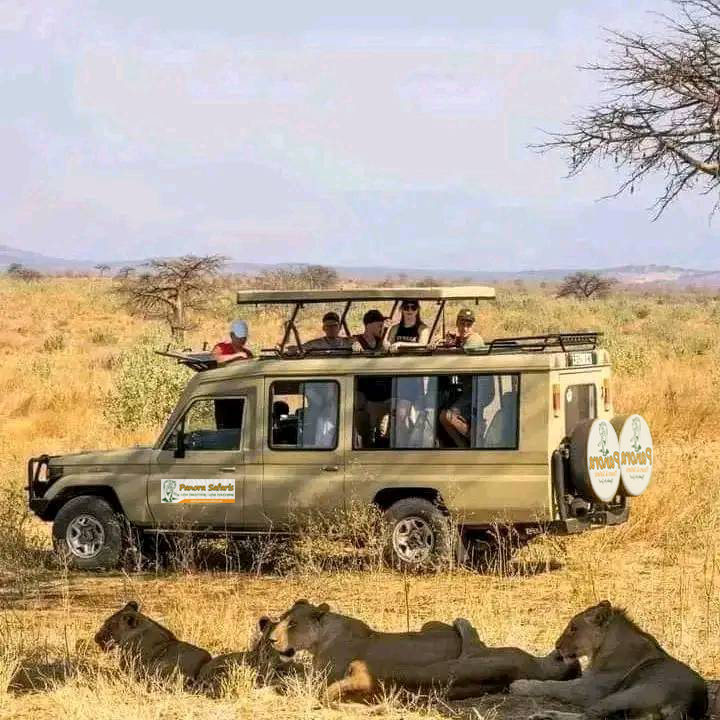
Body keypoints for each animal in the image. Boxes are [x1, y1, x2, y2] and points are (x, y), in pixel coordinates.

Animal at [510, 600, 708, 720]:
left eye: (573, 628)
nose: (556, 645)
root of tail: (687, 701)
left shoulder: (588, 690)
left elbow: (553, 686)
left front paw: (520, 685)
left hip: (622, 696)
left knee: (587, 716)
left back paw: (544, 714)